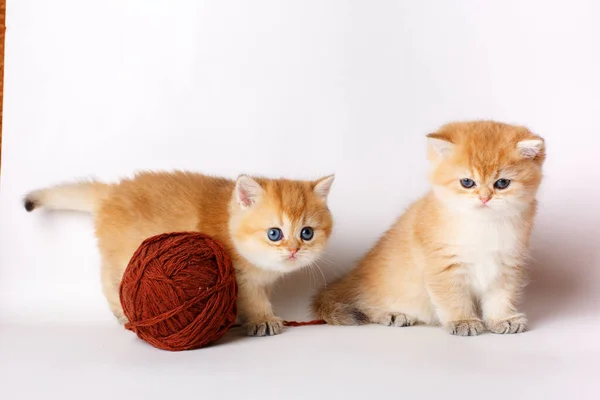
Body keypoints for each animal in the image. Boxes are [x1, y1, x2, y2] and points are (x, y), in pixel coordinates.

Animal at [25, 170, 336, 336]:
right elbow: (254, 300)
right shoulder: (239, 278)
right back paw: (123, 314)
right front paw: (263, 319)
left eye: (307, 233)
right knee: (108, 281)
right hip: (122, 258)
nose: (294, 250)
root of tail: (112, 192)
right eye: (274, 234)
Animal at [316, 120, 548, 336]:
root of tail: (352, 276)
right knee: (364, 305)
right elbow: (453, 297)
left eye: (502, 183)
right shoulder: (443, 265)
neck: (483, 224)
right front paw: (463, 320)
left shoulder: (507, 263)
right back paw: (392, 314)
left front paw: (503, 319)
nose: (484, 198)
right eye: (467, 182)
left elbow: (501, 296)